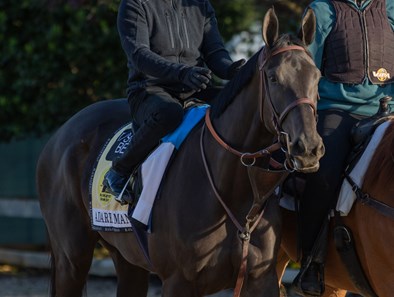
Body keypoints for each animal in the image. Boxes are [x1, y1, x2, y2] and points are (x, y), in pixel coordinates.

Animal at [37, 8, 324, 294]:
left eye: (317, 77)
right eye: (273, 78)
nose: (308, 147)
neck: (231, 188)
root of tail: (60, 135)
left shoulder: (261, 279)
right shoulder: (178, 282)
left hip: (128, 261)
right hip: (72, 260)